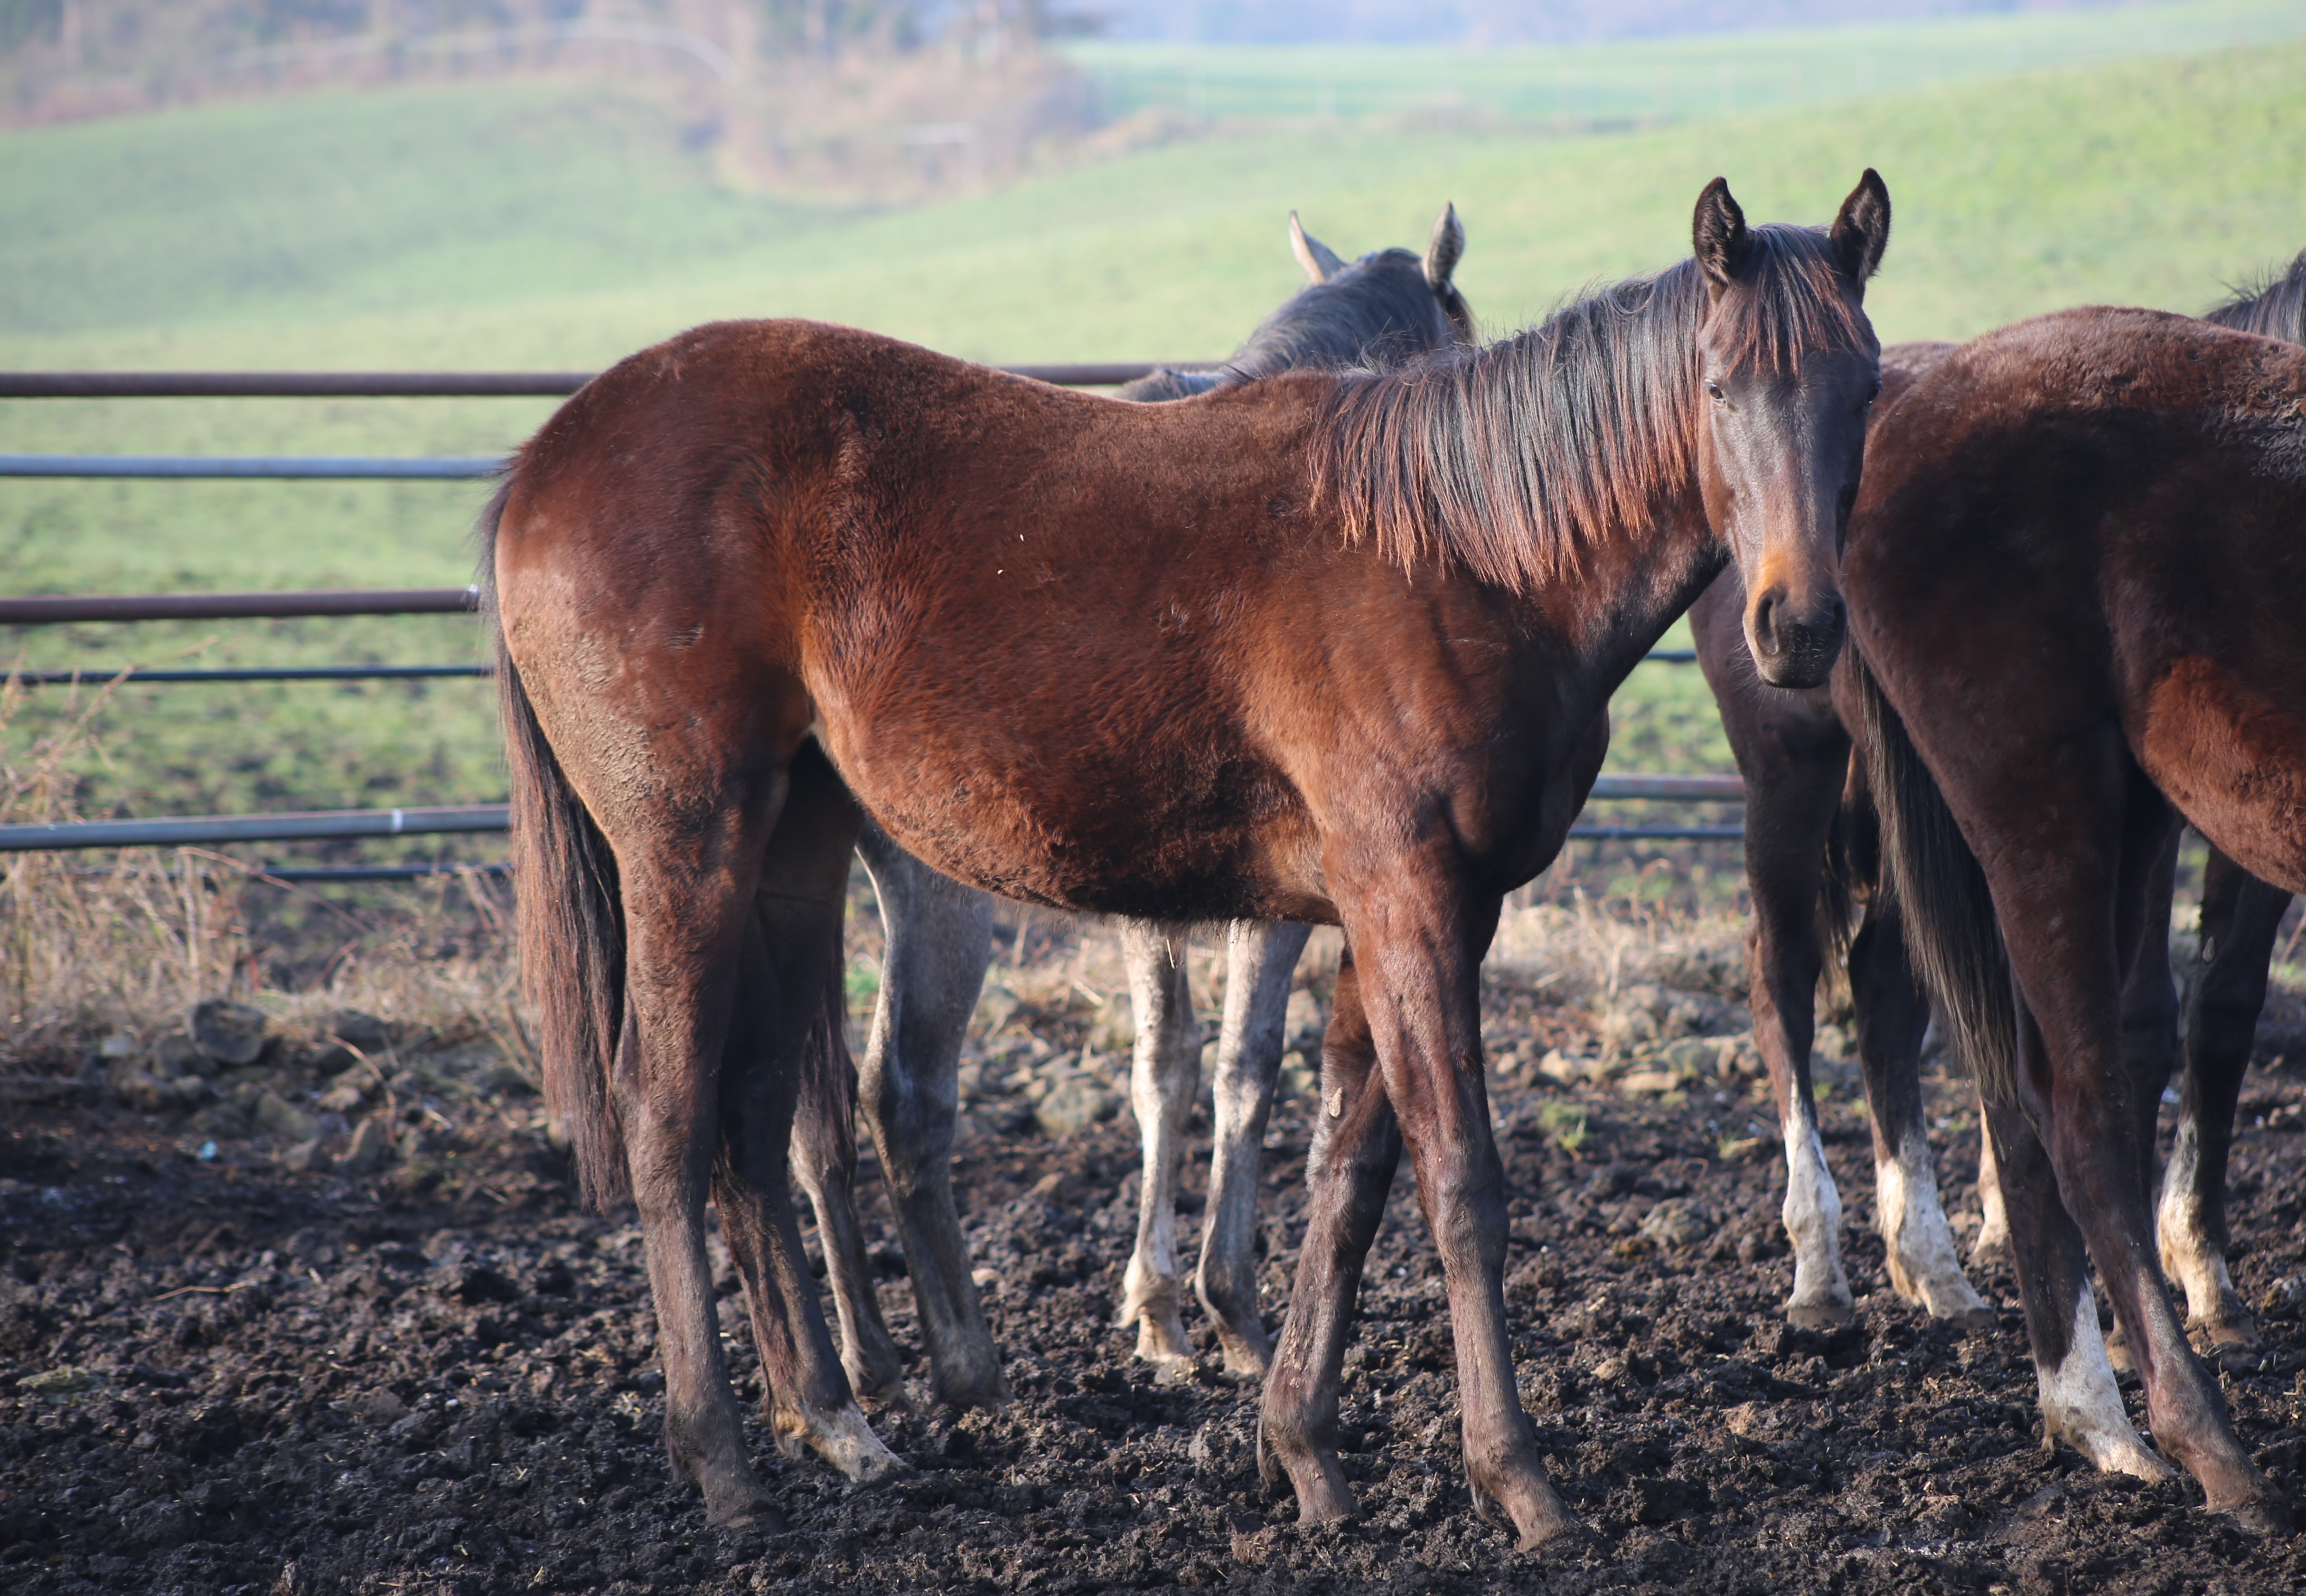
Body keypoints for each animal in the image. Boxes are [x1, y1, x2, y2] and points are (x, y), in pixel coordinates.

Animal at [487, 174, 1891, 1549]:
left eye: (1865, 387)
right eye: (1720, 388)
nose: (1800, 625)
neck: (1461, 547)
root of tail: (546, 459)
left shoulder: (1418, 911)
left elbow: (1349, 1174)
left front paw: (1303, 1447)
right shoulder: (1406, 900)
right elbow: (1458, 1185)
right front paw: (1519, 1482)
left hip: (792, 854)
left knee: (755, 1111)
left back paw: (838, 1423)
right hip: (691, 855)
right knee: (669, 1115)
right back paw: (727, 1463)